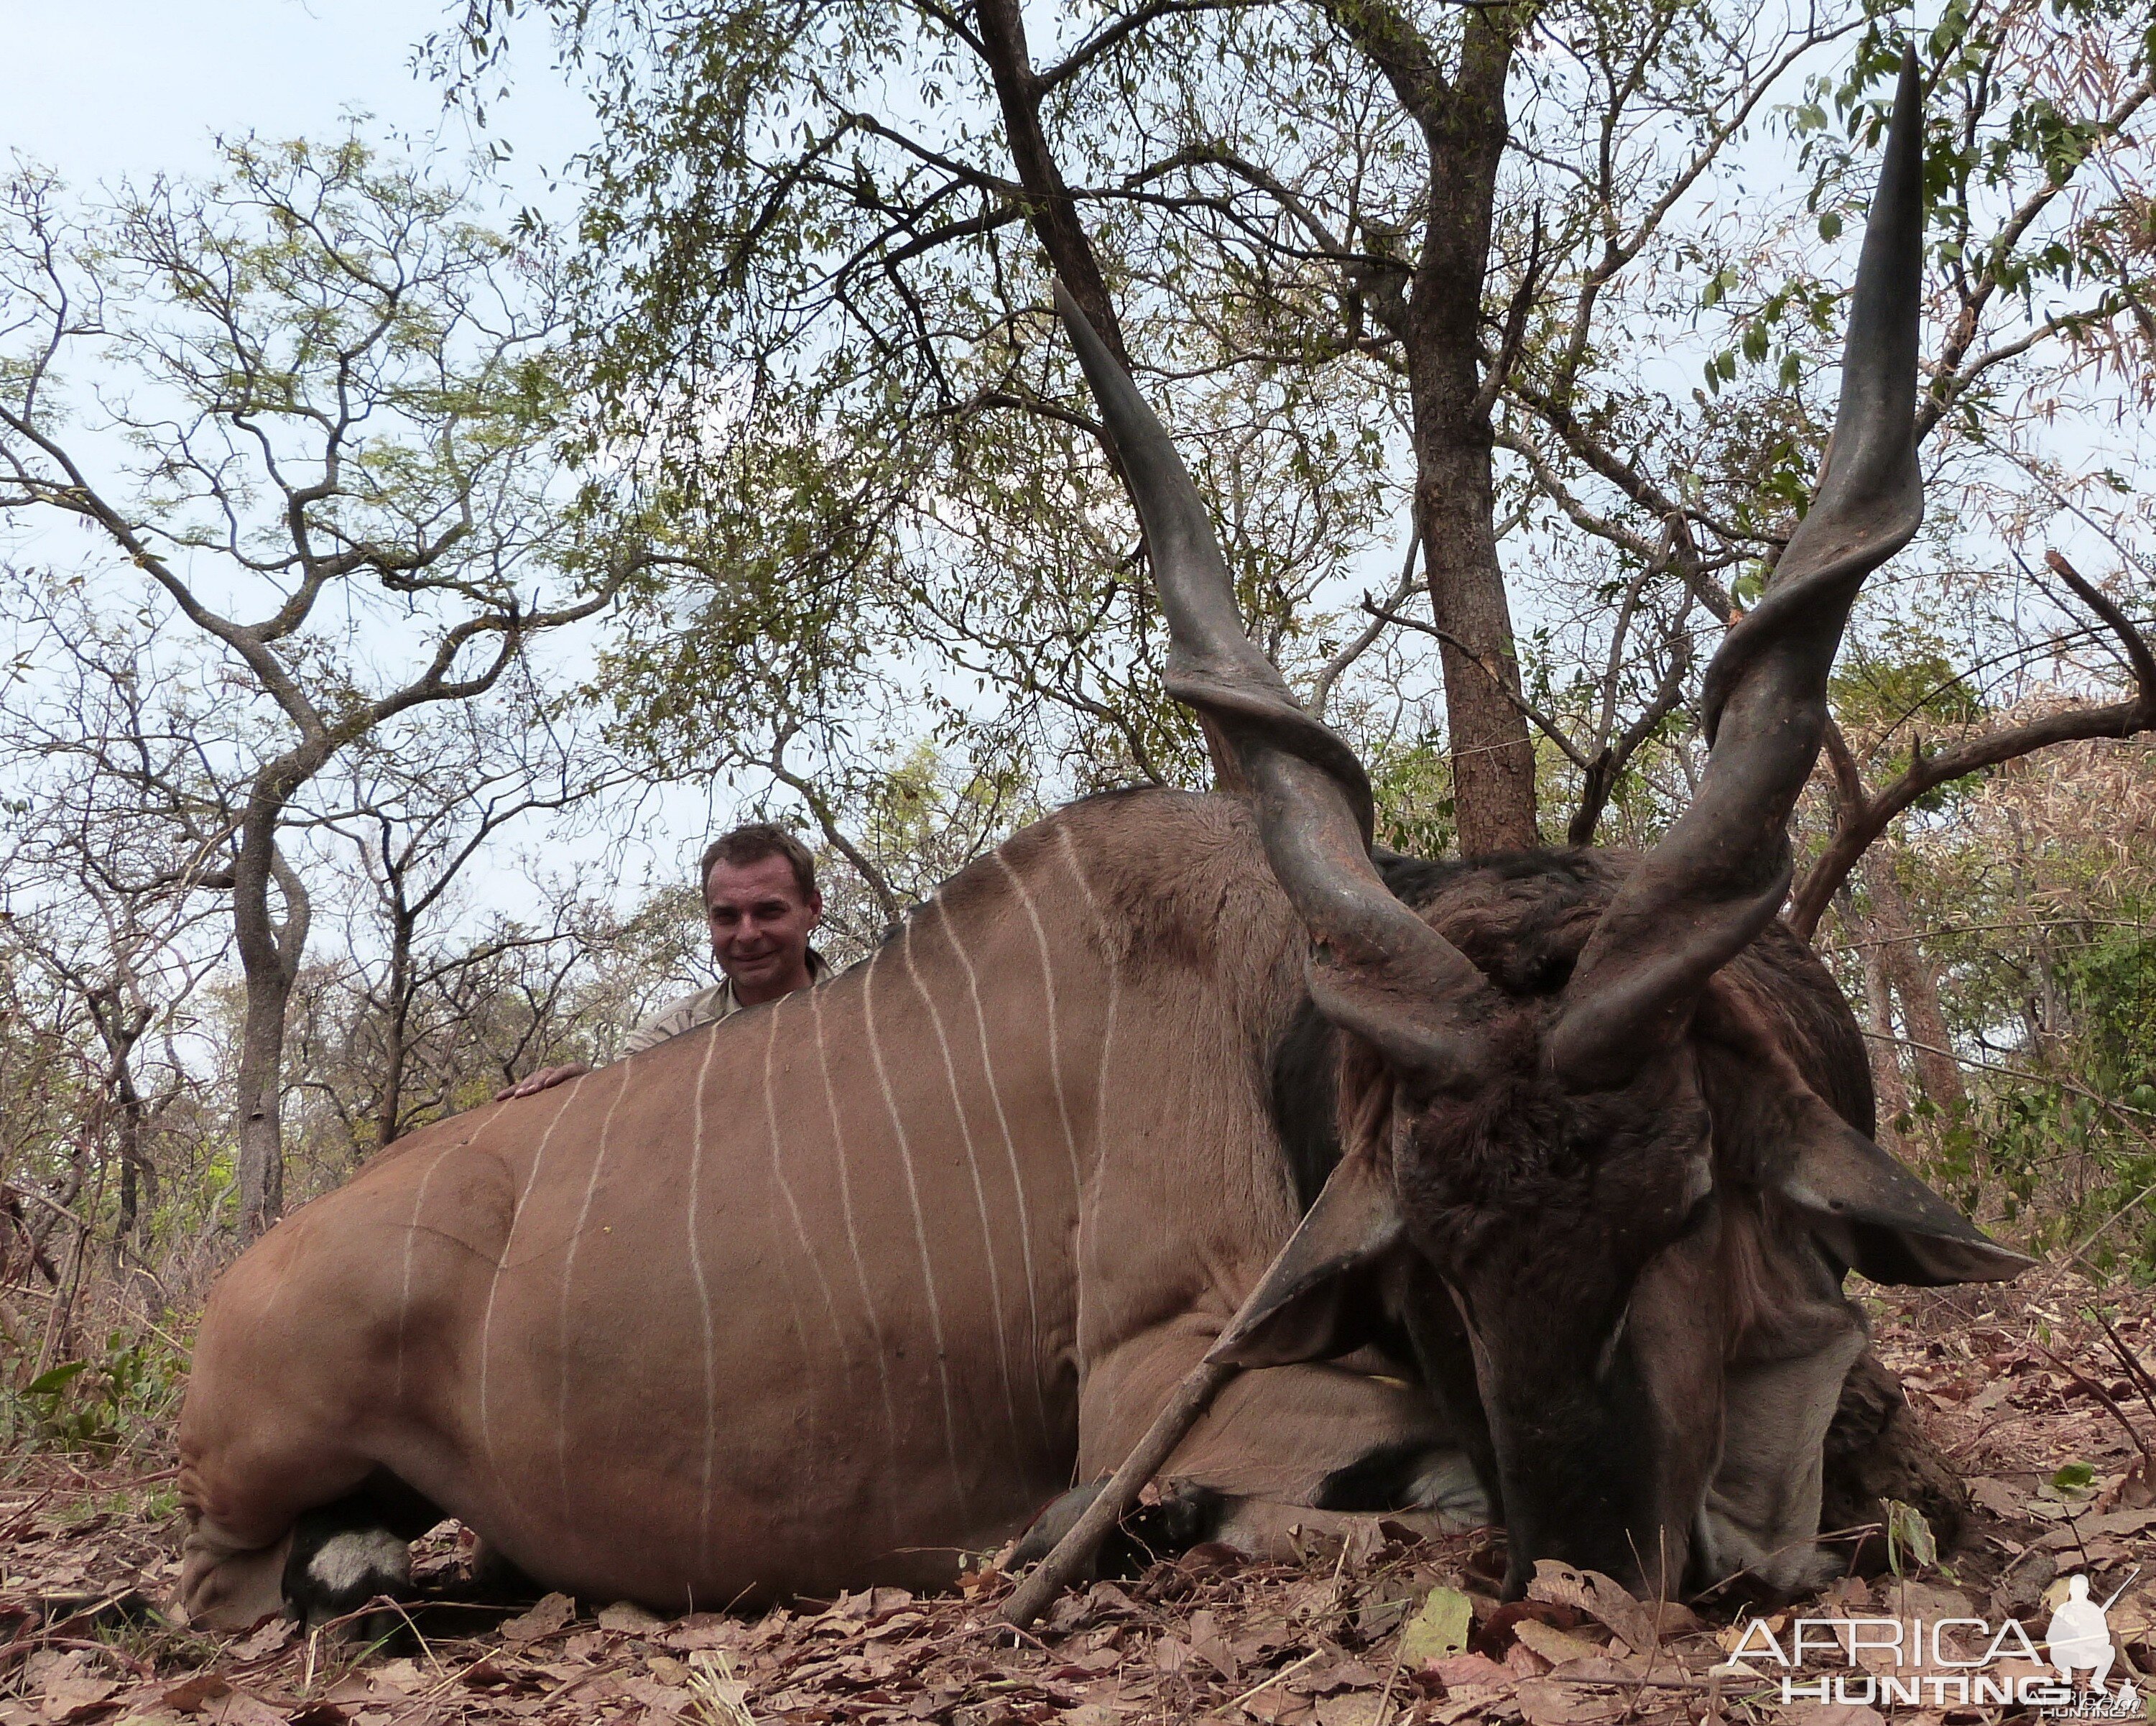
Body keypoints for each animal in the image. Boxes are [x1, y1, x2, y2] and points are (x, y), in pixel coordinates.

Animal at [181, 47, 2017, 1622]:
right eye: (1431, 1254)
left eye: (1690, 1199)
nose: (1585, 1566)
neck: (1267, 1024)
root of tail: (246, 1282)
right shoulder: (1163, 1375)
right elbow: (1377, 1466)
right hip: (249, 1489)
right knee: (239, 1586)